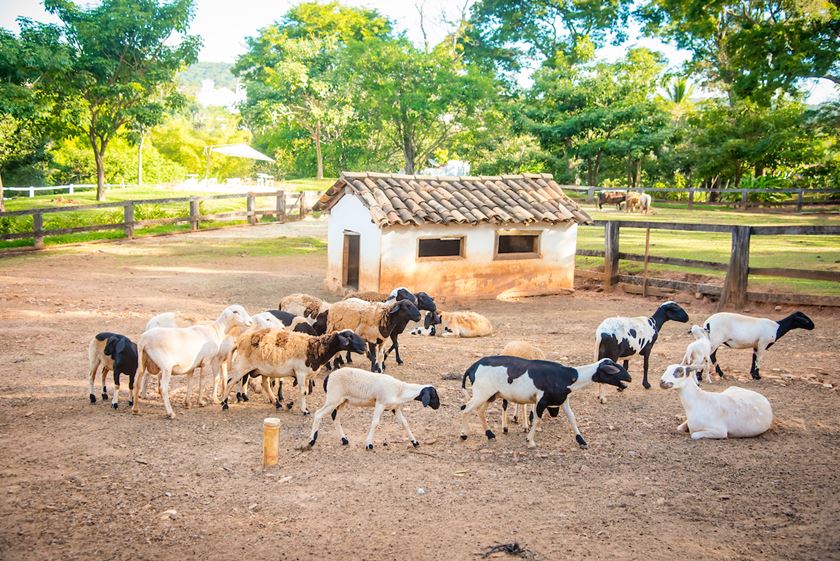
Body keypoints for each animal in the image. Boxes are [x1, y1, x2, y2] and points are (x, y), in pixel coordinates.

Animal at [220, 326, 368, 414]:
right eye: (349, 336)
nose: (365, 347)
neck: (315, 348)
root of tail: (240, 340)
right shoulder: (300, 373)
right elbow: (303, 392)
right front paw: (304, 411)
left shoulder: (307, 375)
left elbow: (306, 391)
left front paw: (302, 407)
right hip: (242, 366)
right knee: (230, 382)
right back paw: (224, 404)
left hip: (263, 369)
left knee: (264, 384)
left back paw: (277, 403)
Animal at [306, 366, 440, 448]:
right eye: (433, 395)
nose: (438, 406)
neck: (400, 390)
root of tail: (327, 377)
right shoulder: (380, 404)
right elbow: (375, 423)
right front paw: (369, 444)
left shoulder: (395, 408)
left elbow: (405, 423)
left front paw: (415, 442)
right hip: (333, 399)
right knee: (318, 414)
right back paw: (311, 441)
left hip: (342, 401)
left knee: (336, 418)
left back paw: (344, 440)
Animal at [460, 358, 632, 446]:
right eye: (614, 369)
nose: (629, 378)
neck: (568, 377)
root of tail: (472, 367)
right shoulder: (541, 401)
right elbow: (537, 419)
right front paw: (530, 441)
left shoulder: (563, 400)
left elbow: (572, 418)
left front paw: (581, 440)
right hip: (482, 393)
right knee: (465, 409)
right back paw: (464, 434)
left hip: (491, 394)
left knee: (479, 411)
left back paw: (490, 434)